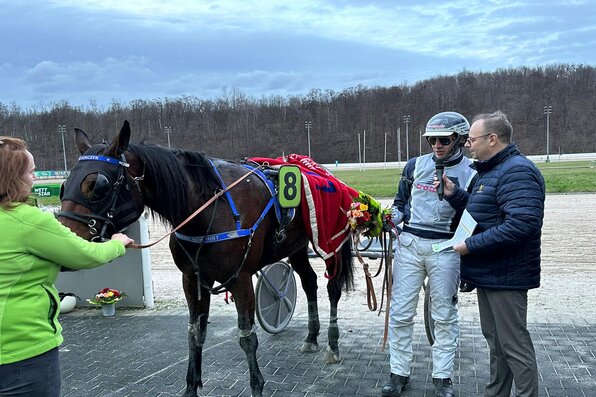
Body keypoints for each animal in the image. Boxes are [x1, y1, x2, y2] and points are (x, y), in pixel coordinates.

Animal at [57, 120, 354, 396]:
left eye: (98, 184)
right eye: (63, 185)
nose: (64, 238)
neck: (210, 207)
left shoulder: (241, 280)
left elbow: (247, 337)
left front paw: (256, 386)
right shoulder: (193, 279)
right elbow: (194, 333)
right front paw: (191, 386)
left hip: (329, 242)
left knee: (332, 288)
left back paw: (332, 344)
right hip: (296, 246)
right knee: (309, 281)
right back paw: (311, 337)